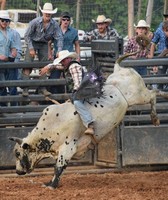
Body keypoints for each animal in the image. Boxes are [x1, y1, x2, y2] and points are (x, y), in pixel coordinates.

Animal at [9, 51, 168, 189]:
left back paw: (155, 118)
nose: (17, 172)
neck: (50, 127)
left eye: (18, 153)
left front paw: (51, 185)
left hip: (139, 96)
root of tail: (119, 69)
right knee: (155, 93)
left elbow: (58, 168)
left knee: (153, 94)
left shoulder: (67, 148)